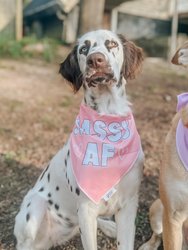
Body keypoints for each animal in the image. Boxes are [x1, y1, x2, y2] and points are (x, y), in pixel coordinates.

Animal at [14, 29, 144, 250]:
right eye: (84, 49)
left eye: (112, 44)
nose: (96, 60)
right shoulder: (86, 209)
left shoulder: (128, 205)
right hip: (34, 209)